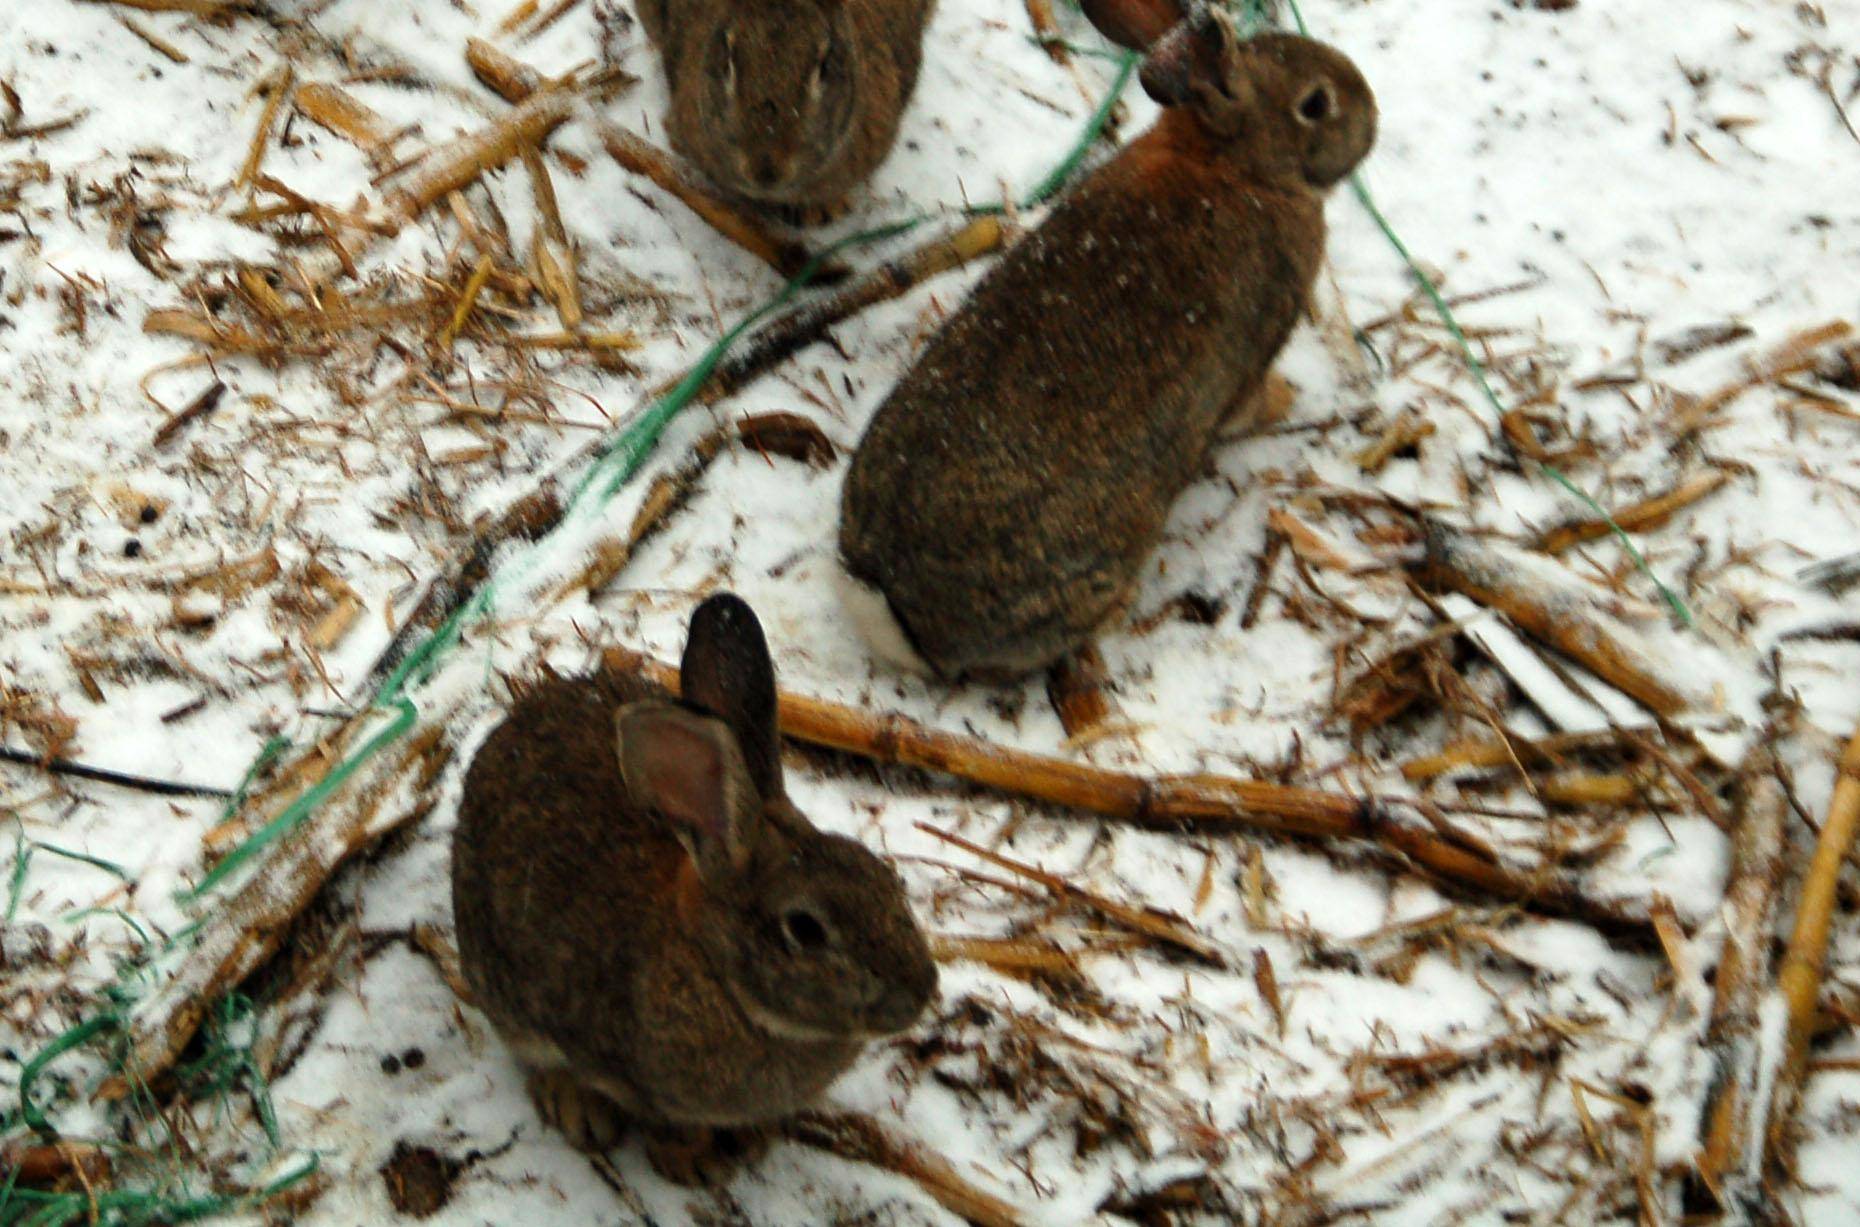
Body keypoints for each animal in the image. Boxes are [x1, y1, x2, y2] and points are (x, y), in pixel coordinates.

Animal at [448, 591, 937, 1182]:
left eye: (883, 876)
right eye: (804, 929)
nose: (921, 992)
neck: (714, 971)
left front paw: (749, 1141)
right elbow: (665, 1119)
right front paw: (693, 1163)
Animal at [837, 11, 1376, 680]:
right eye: (1316, 104)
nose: (1372, 113)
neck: (1235, 163)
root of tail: (891, 600)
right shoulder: (1255, 350)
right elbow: (1245, 407)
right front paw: (1289, 399)